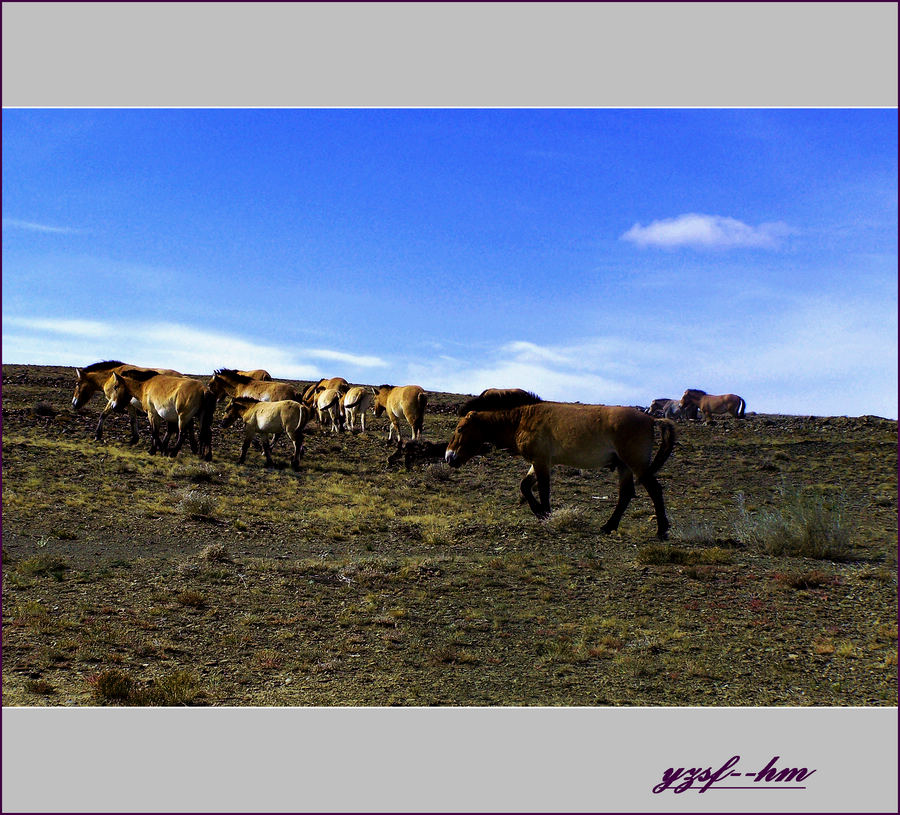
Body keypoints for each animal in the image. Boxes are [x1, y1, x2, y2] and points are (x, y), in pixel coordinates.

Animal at [442, 394, 676, 540]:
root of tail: (651, 419)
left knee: (655, 491)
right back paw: (608, 526)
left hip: (636, 464)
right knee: (625, 495)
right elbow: (525, 486)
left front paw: (546, 515)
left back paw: (661, 531)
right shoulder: (540, 462)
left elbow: (543, 490)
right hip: (624, 467)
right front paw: (540, 513)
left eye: (460, 429)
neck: (522, 419)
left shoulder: (541, 461)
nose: (449, 457)